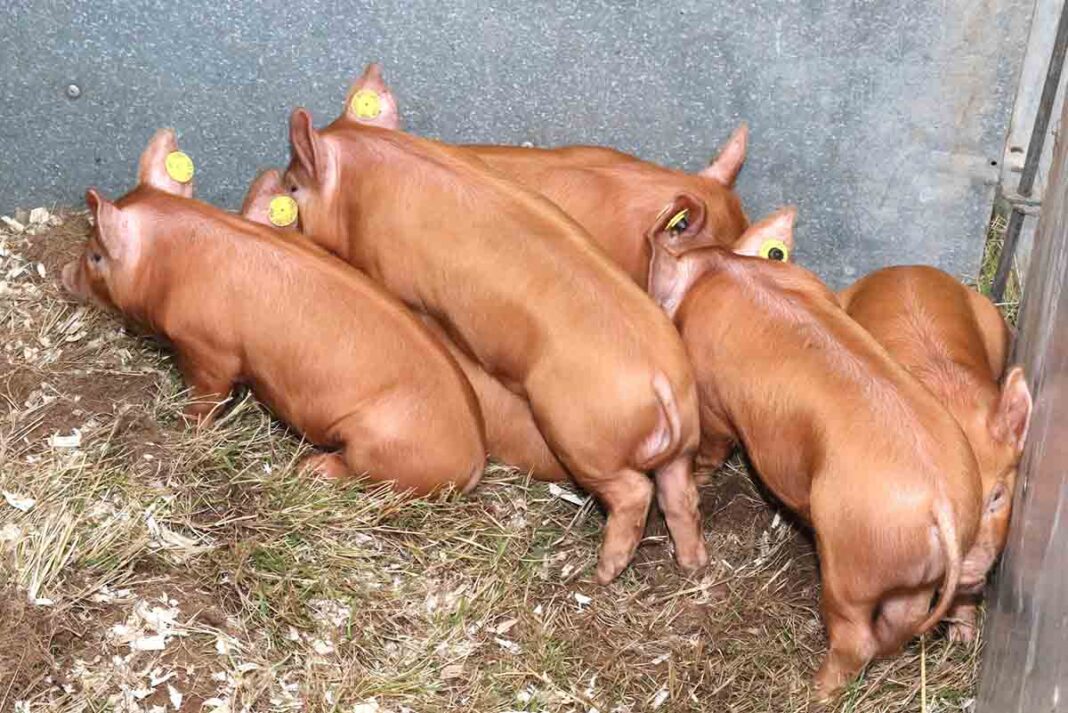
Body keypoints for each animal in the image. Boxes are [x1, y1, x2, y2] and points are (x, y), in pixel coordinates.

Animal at [62, 129, 486, 496]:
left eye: (95, 255)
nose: (64, 274)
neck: (171, 263)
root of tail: (474, 463)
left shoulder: (210, 349)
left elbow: (208, 395)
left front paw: (182, 422)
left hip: (379, 445)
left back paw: (312, 468)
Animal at [279, 108, 707, 584]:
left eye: (293, 185)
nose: (283, 193)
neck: (368, 180)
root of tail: (660, 380)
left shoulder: (400, 278)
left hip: (583, 437)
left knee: (635, 492)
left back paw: (604, 571)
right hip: (681, 448)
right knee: (681, 497)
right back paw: (693, 564)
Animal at [645, 195, 982, 698]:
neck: (720, 268)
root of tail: (941, 500)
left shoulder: (712, 401)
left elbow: (713, 445)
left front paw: (702, 476)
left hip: (851, 565)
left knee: (855, 639)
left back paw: (815, 690)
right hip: (914, 574)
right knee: (902, 620)